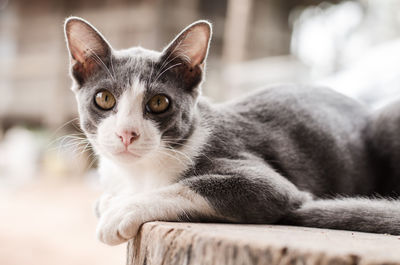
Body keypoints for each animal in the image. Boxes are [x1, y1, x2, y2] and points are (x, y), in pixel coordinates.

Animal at [63, 16, 400, 243]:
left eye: (159, 102)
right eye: (104, 98)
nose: (126, 133)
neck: (139, 173)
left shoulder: (266, 179)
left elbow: (194, 186)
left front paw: (122, 210)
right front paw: (112, 200)